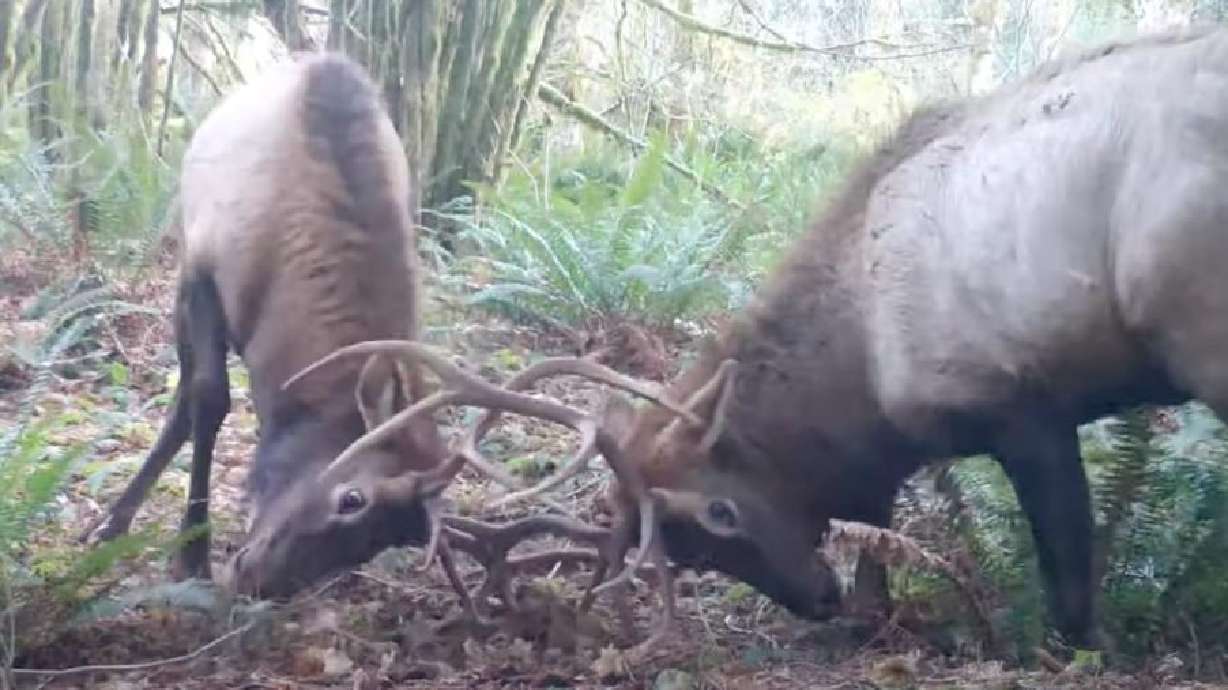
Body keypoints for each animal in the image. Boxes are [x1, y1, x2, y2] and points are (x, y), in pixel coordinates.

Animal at [292, 26, 1228, 655]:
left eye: (719, 511)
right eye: (688, 551)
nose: (815, 599)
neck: (866, 385)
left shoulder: (1022, 403)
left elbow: (1069, 582)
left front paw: (1080, 653)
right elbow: (876, 530)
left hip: (1200, 328)